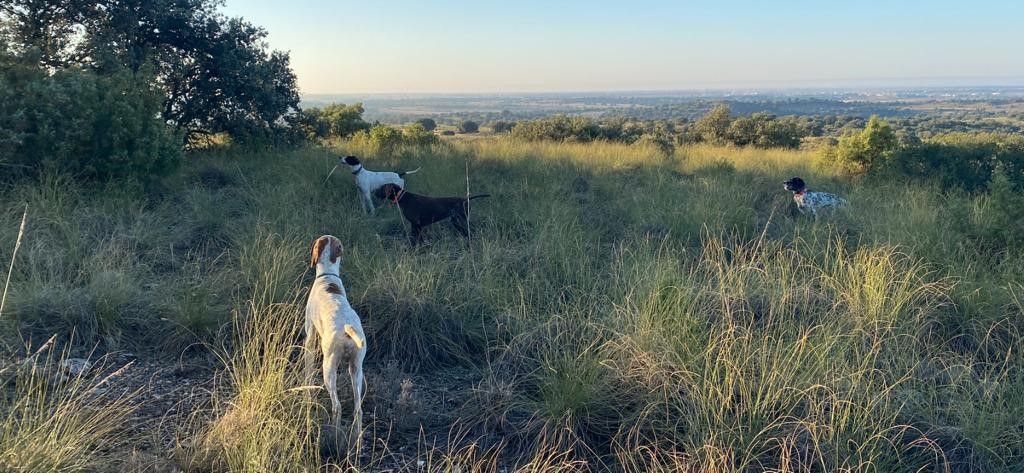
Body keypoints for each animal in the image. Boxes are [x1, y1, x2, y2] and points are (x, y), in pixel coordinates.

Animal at [305, 234, 366, 448]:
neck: (328, 275)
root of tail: (347, 328)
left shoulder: (309, 335)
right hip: (356, 370)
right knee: (358, 409)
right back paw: (357, 441)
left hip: (328, 369)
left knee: (337, 406)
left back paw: (334, 435)